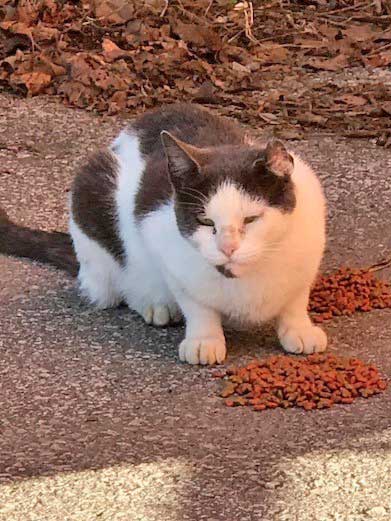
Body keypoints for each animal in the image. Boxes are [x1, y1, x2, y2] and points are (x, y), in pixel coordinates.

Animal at [0, 100, 328, 362]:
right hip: (92, 189)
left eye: (250, 219)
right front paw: (204, 338)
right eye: (205, 221)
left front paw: (298, 327)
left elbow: (295, 299)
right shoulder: (158, 234)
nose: (228, 248)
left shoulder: (310, 249)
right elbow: (195, 302)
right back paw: (153, 303)